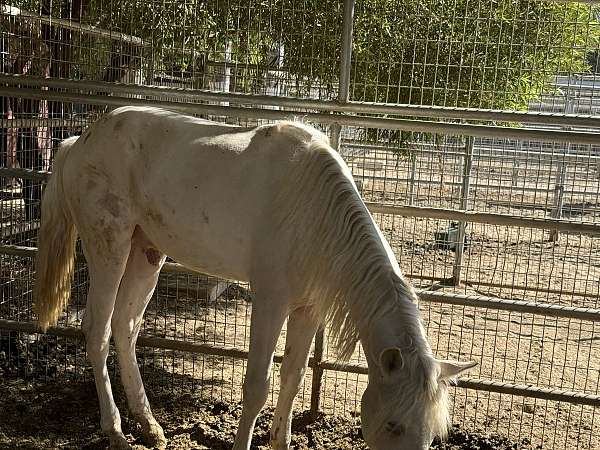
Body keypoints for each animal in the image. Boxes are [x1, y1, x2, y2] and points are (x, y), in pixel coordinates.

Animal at [32, 106, 476, 450]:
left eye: (431, 435)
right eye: (392, 425)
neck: (314, 213)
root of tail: (78, 142)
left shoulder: (308, 309)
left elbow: (293, 378)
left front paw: (282, 441)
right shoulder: (270, 302)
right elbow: (257, 385)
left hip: (147, 253)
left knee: (126, 327)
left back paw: (150, 426)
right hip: (109, 247)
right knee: (98, 330)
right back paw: (116, 432)